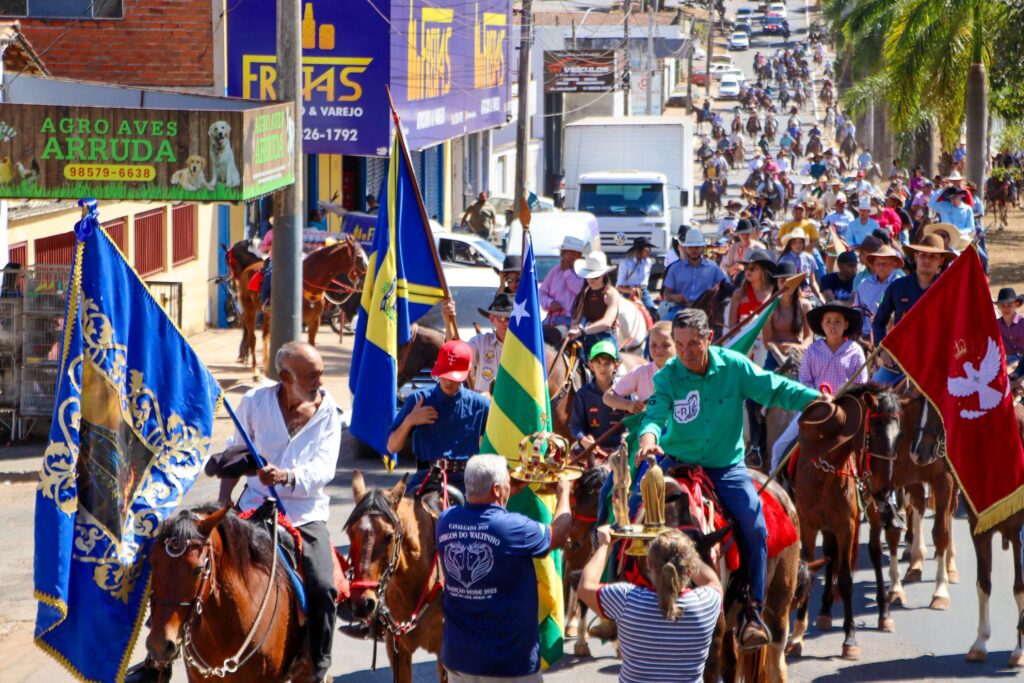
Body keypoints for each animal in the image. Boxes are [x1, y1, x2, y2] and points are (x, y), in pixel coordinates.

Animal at [237, 238, 367, 378]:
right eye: (359, 257)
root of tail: (247, 269)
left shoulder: (315, 321)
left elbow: (311, 346)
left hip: (268, 315)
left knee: (265, 337)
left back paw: (266, 369)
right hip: (249, 310)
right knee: (252, 339)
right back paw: (255, 371)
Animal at [787, 385, 904, 661]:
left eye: (898, 435)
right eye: (873, 433)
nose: (884, 490)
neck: (823, 471)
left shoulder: (846, 526)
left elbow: (846, 580)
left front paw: (850, 638)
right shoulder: (809, 526)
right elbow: (810, 568)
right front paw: (797, 635)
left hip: (872, 515)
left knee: (874, 553)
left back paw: (884, 613)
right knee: (830, 555)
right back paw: (824, 613)